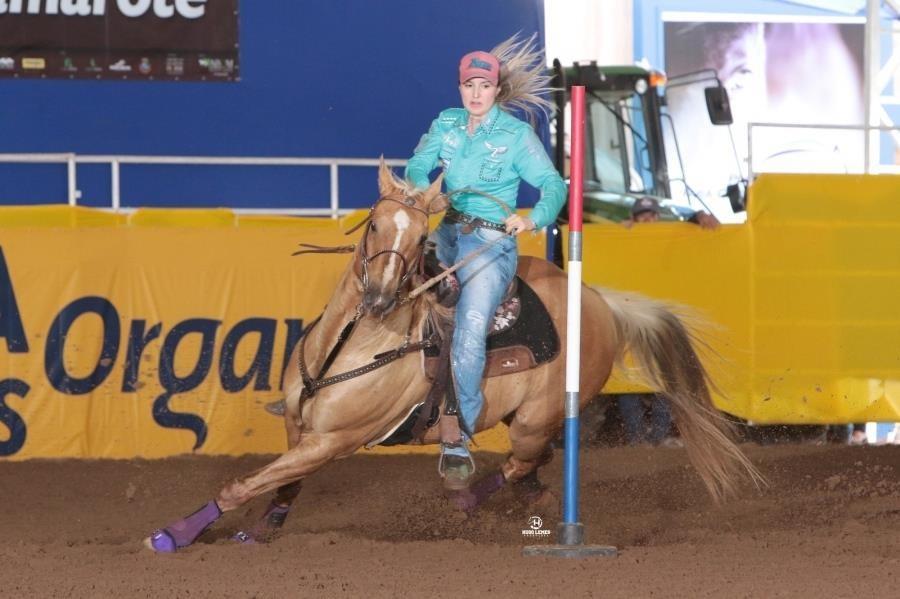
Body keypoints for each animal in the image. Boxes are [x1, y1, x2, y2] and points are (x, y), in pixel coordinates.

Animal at [144, 161, 764, 552]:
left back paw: (465, 500)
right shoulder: (301, 431)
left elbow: (241, 485)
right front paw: (257, 532)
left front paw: (173, 535)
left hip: (536, 418)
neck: (351, 345)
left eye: (420, 237)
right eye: (374, 224)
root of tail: (598, 299)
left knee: (519, 464)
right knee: (531, 469)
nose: (379, 298)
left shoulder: (334, 441)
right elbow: (281, 485)